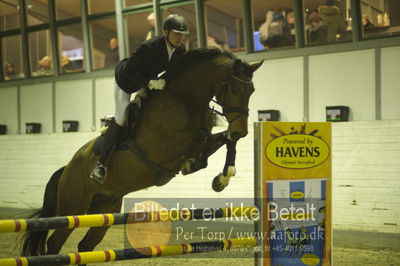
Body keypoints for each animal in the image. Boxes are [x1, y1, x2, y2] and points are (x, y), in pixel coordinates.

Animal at [21, 48, 262, 256]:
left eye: (252, 91)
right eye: (234, 88)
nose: (242, 131)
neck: (184, 98)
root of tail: (66, 170)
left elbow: (225, 139)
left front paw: (222, 178)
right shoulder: (163, 147)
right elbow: (200, 137)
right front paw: (197, 164)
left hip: (104, 210)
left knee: (86, 245)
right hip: (73, 208)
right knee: (54, 244)